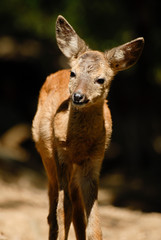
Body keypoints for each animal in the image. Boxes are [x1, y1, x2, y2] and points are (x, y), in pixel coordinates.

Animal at [31, 15, 145, 240]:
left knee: (76, 204)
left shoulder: (95, 159)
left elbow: (94, 219)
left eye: (101, 79)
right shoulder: (61, 155)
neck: (78, 145)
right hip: (45, 151)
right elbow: (62, 209)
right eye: (73, 74)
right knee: (53, 205)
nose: (78, 97)